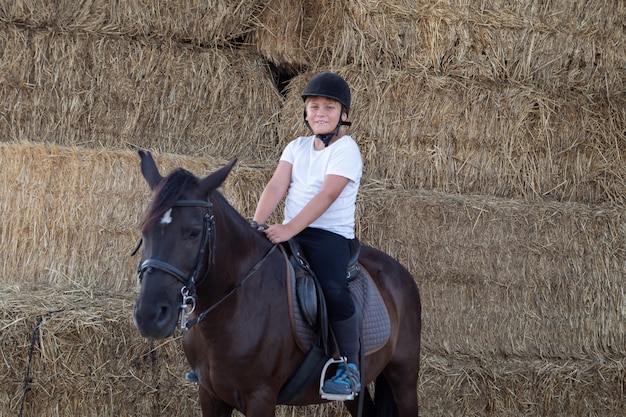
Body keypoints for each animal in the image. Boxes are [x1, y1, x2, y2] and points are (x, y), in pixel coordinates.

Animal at [134, 150, 422, 416]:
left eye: (194, 232)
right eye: (143, 228)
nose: (150, 316)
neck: (234, 304)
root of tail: (399, 271)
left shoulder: (260, 397)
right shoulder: (210, 395)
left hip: (403, 377)